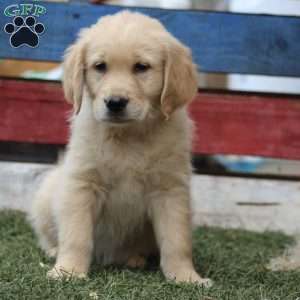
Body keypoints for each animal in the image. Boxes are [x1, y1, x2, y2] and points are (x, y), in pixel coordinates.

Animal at [29, 9, 210, 286]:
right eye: (100, 67)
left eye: (141, 67)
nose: (115, 102)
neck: (128, 136)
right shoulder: (82, 184)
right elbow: (76, 235)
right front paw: (68, 271)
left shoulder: (170, 190)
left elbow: (177, 241)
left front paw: (185, 276)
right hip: (47, 195)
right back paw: (53, 251)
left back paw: (135, 259)